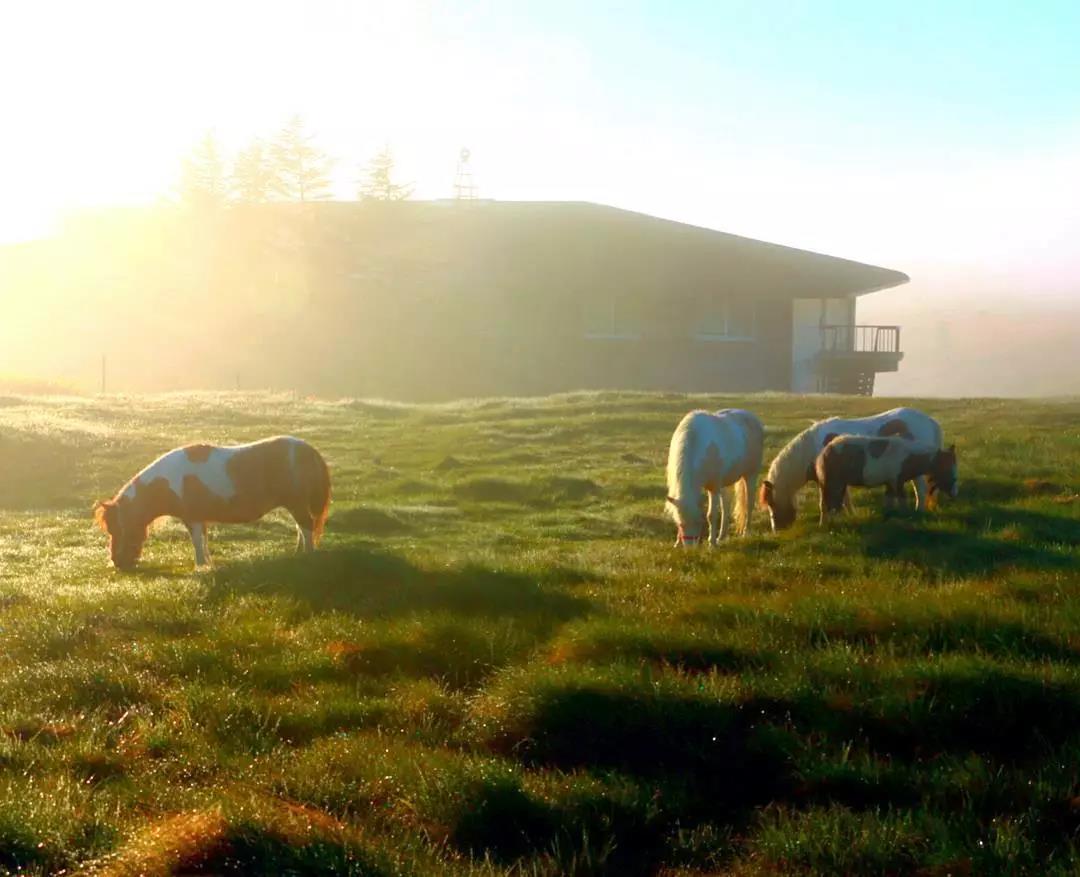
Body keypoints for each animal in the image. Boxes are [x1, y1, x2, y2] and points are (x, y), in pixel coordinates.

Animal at [92, 436, 328, 570]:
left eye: (117, 529)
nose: (117, 563)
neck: (172, 480)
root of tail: (309, 450)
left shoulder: (193, 518)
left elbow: (197, 542)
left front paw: (200, 568)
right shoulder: (198, 519)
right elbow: (203, 542)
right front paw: (208, 565)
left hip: (297, 503)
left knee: (306, 526)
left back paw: (307, 556)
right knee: (301, 527)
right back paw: (297, 554)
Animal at [660, 408, 764, 544]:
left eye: (698, 522)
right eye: (680, 524)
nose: (689, 547)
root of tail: (753, 418)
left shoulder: (713, 487)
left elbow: (711, 515)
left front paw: (712, 542)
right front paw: (677, 543)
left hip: (751, 475)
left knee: (749, 503)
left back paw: (745, 532)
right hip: (725, 482)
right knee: (726, 506)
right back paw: (722, 535)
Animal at [760, 408, 946, 531]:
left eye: (771, 503)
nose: (777, 530)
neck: (814, 449)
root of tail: (930, 422)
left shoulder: (827, 480)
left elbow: (827, 502)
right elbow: (845, 498)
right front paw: (851, 515)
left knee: (920, 490)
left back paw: (918, 512)